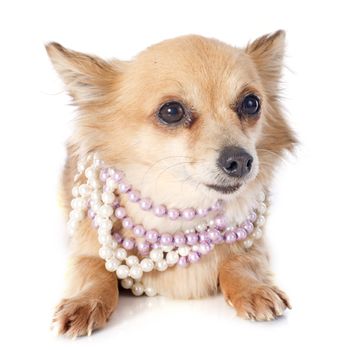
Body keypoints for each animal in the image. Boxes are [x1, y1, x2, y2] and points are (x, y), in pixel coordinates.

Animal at [46, 30, 296, 336]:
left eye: (251, 104)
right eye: (172, 111)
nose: (240, 160)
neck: (183, 208)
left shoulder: (255, 246)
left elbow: (241, 261)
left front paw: (254, 288)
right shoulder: (86, 249)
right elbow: (94, 269)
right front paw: (85, 301)